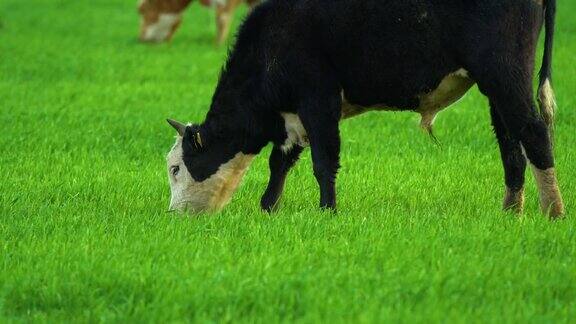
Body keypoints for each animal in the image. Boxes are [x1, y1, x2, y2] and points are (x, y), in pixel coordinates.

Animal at [165, 0, 564, 218]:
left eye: (175, 168)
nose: (173, 214)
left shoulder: (319, 101)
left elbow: (323, 162)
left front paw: (327, 211)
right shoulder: (293, 116)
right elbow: (281, 162)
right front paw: (268, 208)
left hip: (504, 74)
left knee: (534, 133)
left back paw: (553, 211)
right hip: (496, 89)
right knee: (511, 144)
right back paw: (512, 211)